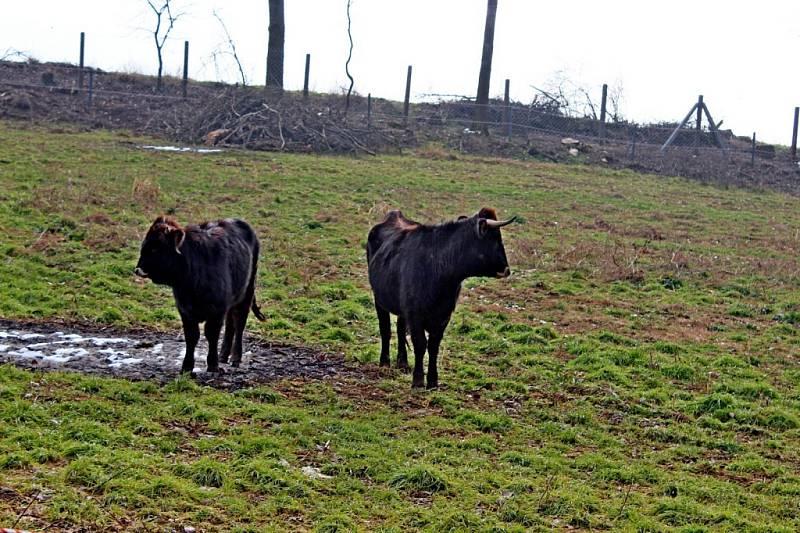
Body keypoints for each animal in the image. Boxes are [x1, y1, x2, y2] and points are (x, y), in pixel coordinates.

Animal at [134, 216, 266, 374]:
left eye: (155, 247)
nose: (138, 269)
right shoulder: (185, 310)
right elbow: (191, 336)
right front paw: (187, 366)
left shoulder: (217, 310)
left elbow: (211, 334)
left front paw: (213, 364)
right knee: (230, 323)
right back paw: (223, 355)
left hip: (247, 291)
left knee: (239, 322)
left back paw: (235, 357)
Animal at [366, 207, 516, 386]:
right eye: (495, 238)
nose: (506, 269)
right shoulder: (415, 314)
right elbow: (420, 344)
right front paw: (418, 381)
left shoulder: (443, 315)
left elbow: (433, 346)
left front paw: (432, 381)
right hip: (379, 299)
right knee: (385, 329)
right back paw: (384, 362)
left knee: (400, 328)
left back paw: (402, 363)